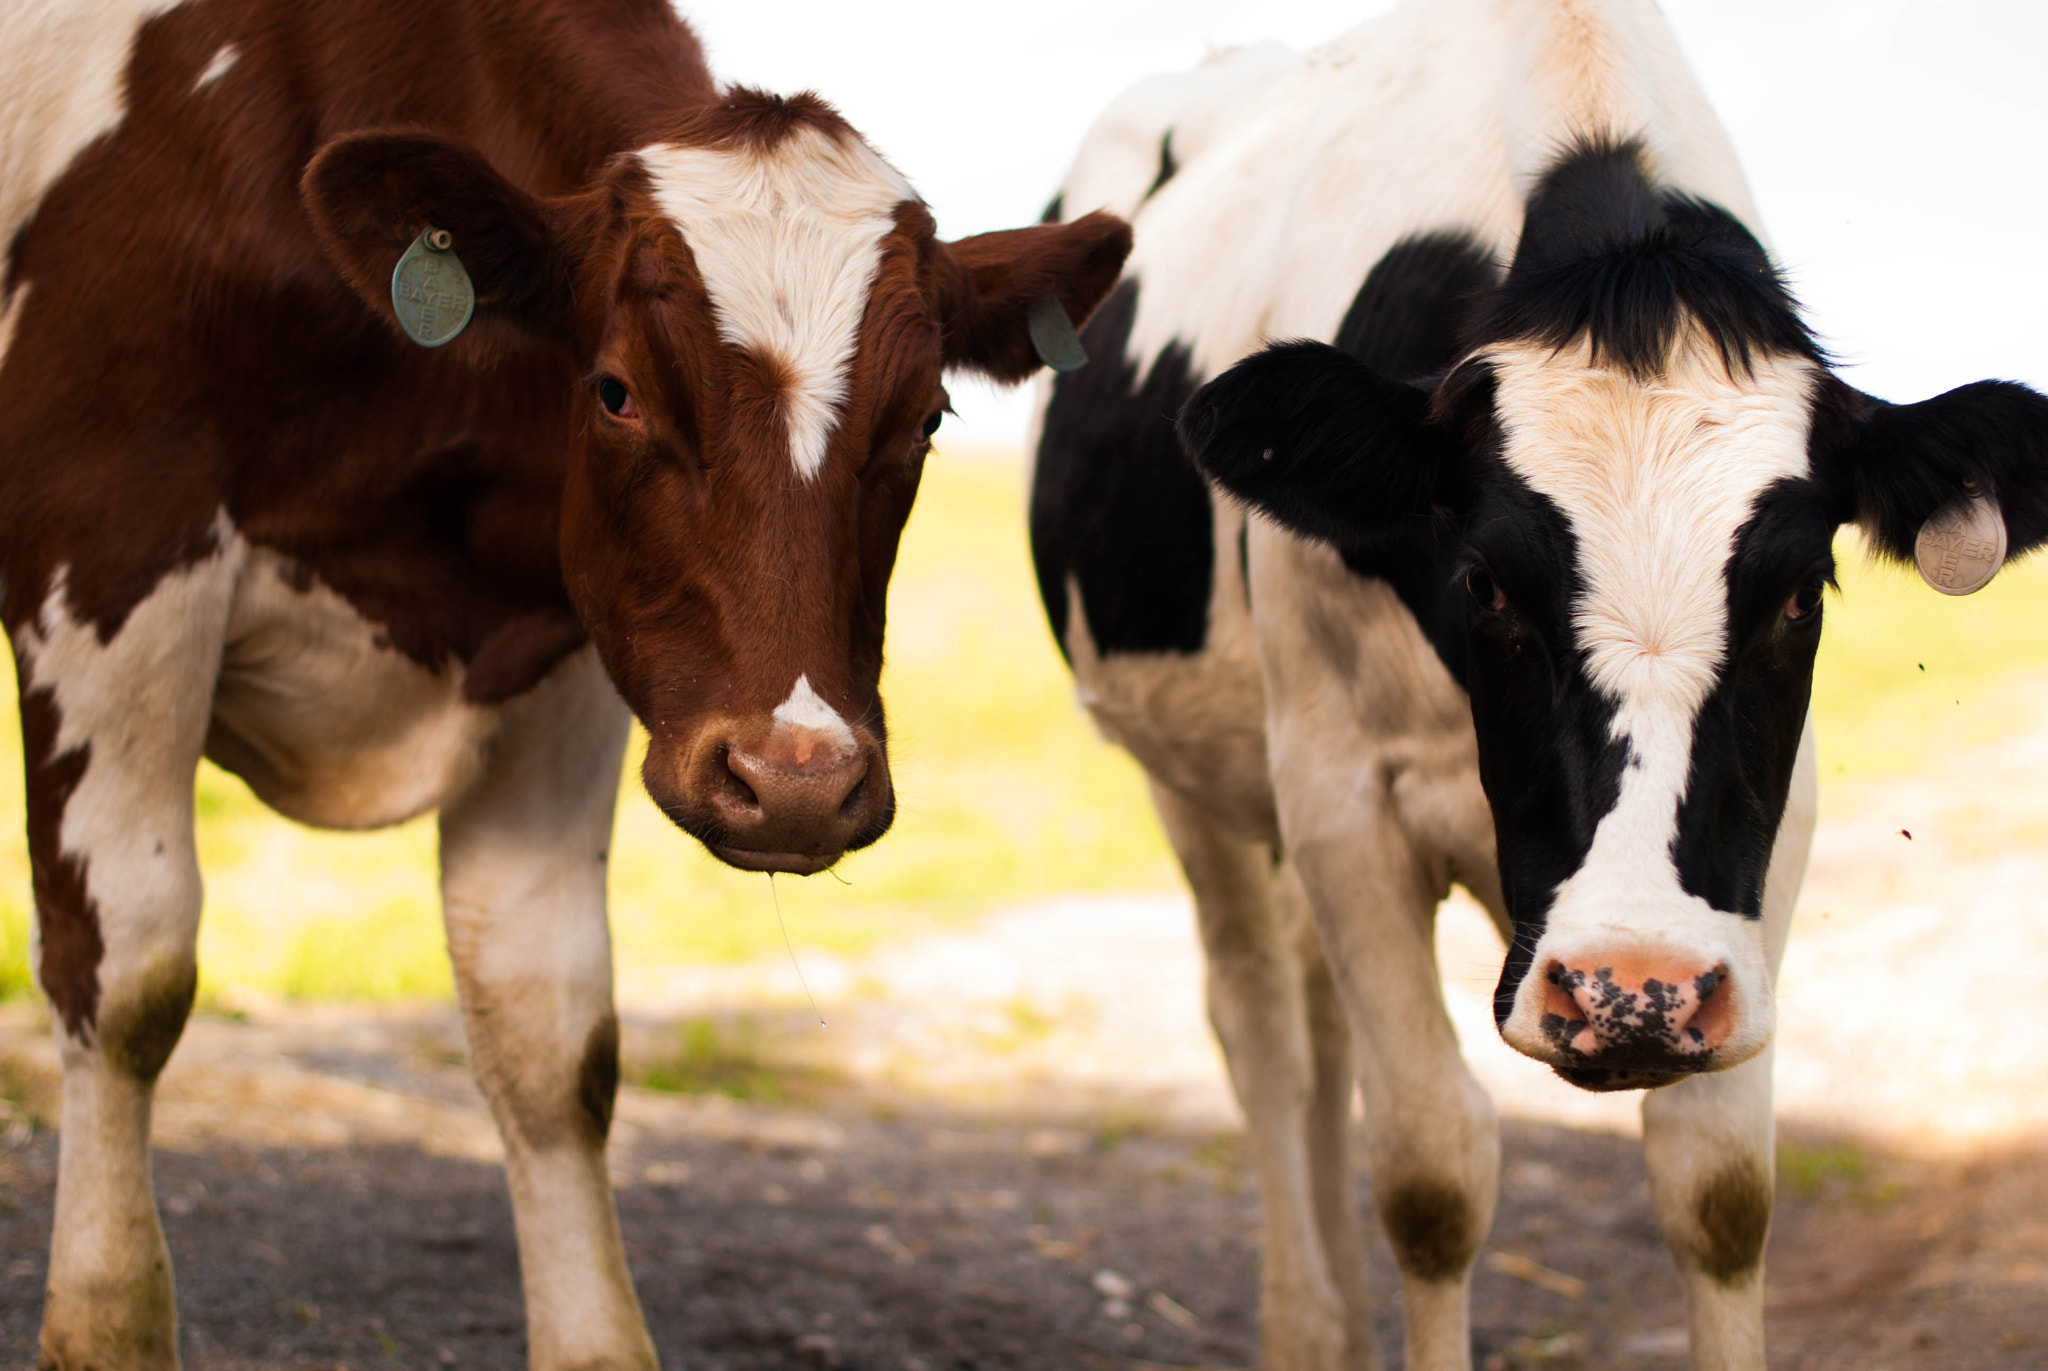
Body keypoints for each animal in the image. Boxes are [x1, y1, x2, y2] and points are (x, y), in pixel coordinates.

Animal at [0, 1, 1130, 1366]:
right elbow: (128, 978)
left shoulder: (581, 648)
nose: (797, 781)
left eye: (923, 423)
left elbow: (549, 1032)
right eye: (616, 390)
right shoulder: (107, 547)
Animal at [1031, 2, 2048, 1368]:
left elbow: (1719, 1183)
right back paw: (1307, 1319)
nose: (1632, 995)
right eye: (1484, 584)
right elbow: (1430, 1169)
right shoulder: (1339, 793)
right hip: (1189, 778)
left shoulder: (1763, 831)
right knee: (1263, 1034)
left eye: (1800, 595)